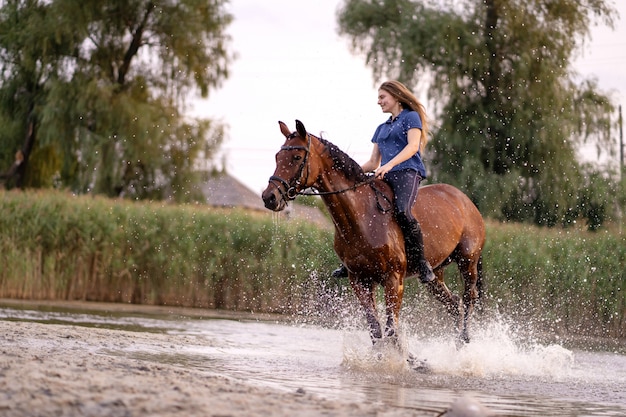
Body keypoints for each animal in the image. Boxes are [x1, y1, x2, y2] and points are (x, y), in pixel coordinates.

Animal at [260, 118, 486, 342]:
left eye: (297, 157)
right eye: (277, 156)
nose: (269, 197)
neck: (362, 217)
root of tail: (467, 202)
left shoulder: (393, 279)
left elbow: (391, 330)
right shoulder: (360, 280)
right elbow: (376, 330)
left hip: (467, 262)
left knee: (468, 299)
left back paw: (464, 340)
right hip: (435, 274)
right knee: (454, 305)